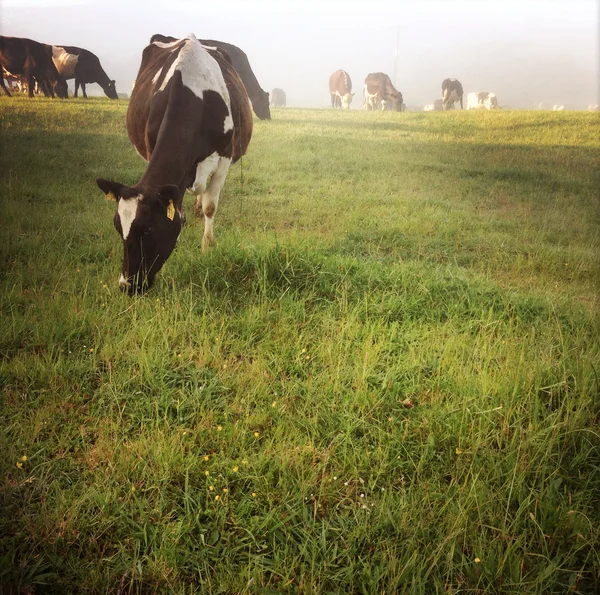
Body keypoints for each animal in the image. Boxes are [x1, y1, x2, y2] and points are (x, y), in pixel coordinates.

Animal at [94, 33, 253, 294]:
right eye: (118, 228)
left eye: (148, 229)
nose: (127, 285)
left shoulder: (224, 159)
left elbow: (210, 206)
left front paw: (207, 246)